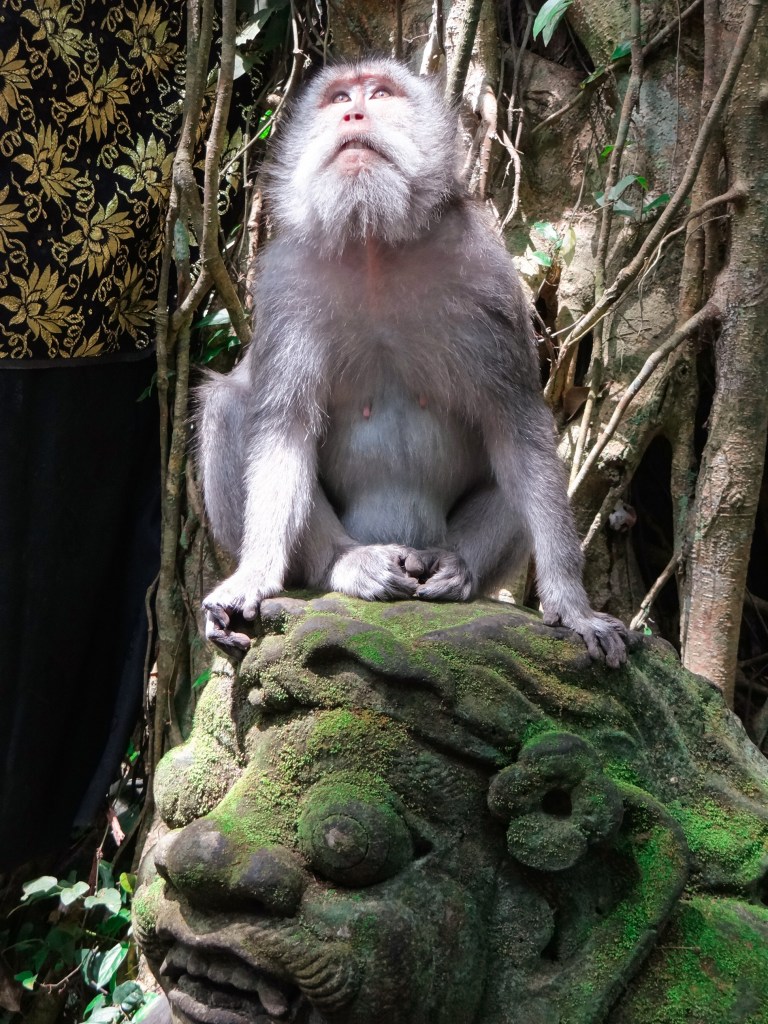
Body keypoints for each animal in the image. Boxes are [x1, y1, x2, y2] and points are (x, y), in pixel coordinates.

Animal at [197, 58, 629, 668]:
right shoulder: (284, 284)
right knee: (231, 407)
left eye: (379, 94)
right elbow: (284, 430)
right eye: (339, 98)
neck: (374, 243)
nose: (354, 114)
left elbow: (518, 427)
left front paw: (571, 604)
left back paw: (457, 567)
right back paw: (346, 564)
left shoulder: (488, 275)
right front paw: (254, 575)